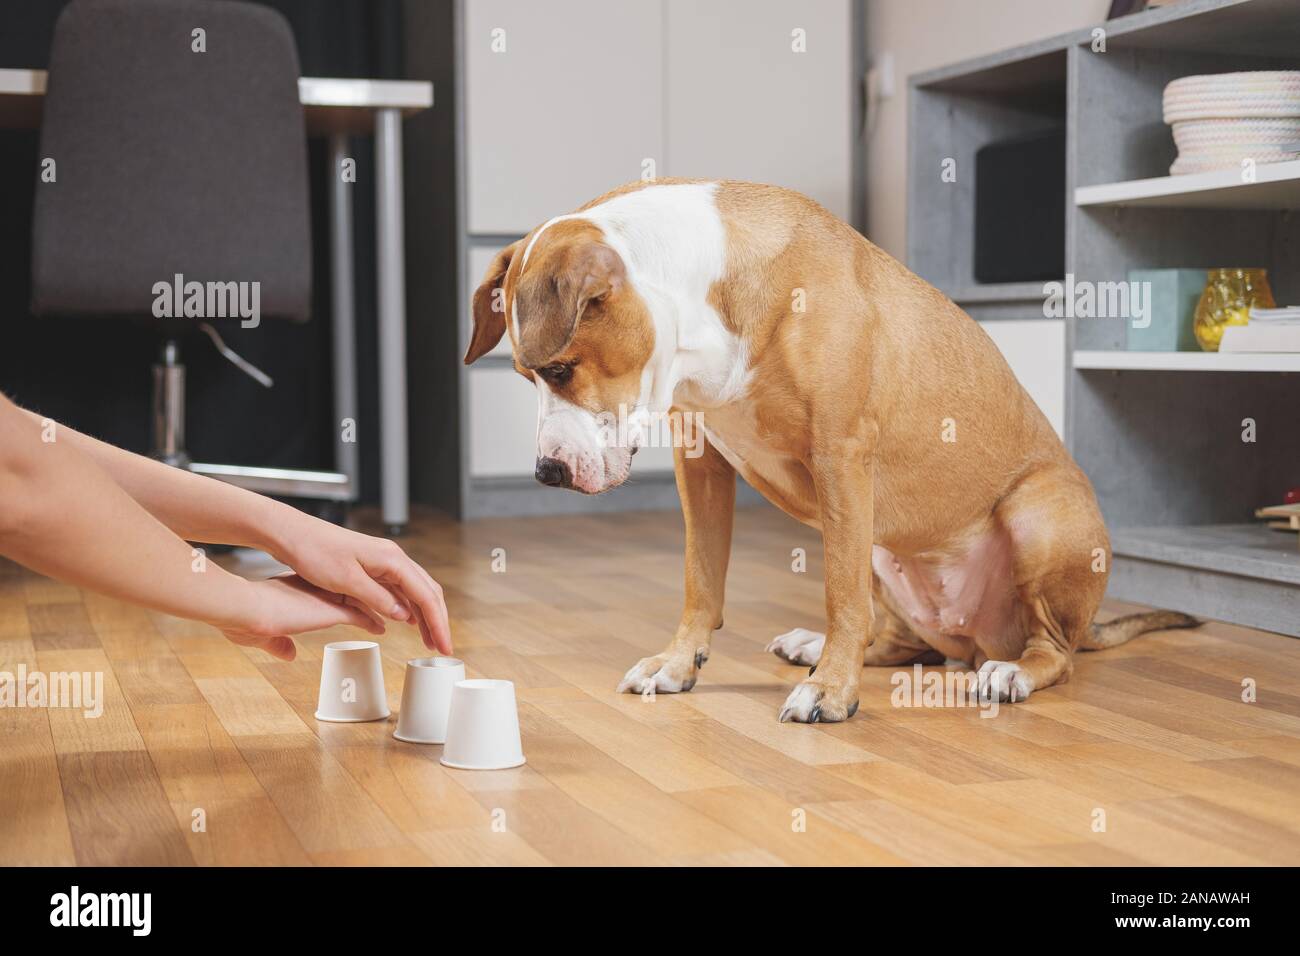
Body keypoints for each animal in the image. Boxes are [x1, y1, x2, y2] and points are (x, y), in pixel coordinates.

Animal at [465, 179, 1196, 723]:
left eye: (559, 370)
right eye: (526, 376)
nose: (546, 472)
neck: (707, 293)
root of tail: (980, 639)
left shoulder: (840, 456)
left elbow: (839, 594)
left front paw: (831, 692)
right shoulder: (699, 461)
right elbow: (701, 578)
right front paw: (677, 664)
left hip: (1040, 516)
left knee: (1053, 652)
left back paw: (1007, 674)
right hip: (886, 547)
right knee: (900, 641)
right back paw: (813, 648)